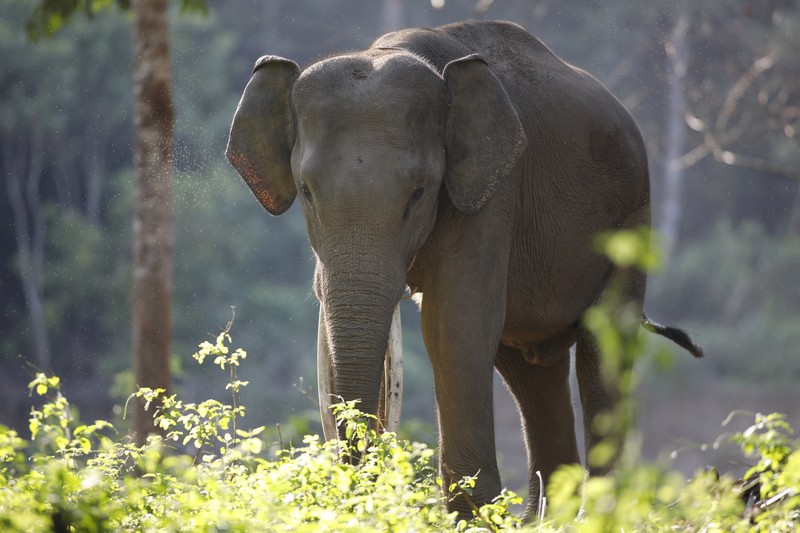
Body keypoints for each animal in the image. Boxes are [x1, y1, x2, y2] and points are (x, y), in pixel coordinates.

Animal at [226, 20, 702, 519]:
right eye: (306, 191)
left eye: (418, 192)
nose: (362, 480)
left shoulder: (490, 195)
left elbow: (454, 325)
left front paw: (471, 512)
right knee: (529, 369)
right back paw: (541, 519)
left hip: (634, 214)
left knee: (603, 340)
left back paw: (598, 515)